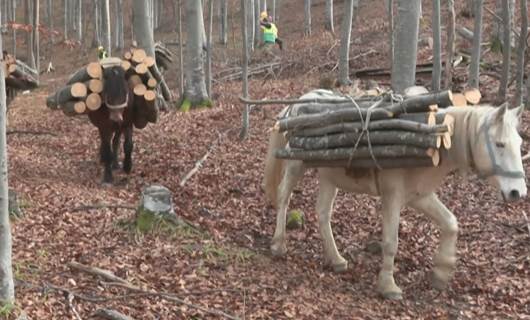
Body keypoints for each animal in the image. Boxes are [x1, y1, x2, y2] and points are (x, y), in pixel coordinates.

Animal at [262, 90, 524, 300]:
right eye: (499, 144)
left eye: (520, 143)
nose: (517, 193)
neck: (436, 141)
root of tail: (294, 106)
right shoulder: (392, 197)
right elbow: (390, 242)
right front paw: (388, 286)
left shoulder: (420, 196)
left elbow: (451, 223)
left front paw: (441, 272)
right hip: (296, 164)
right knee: (284, 197)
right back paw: (278, 244)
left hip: (329, 176)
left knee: (323, 213)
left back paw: (336, 259)